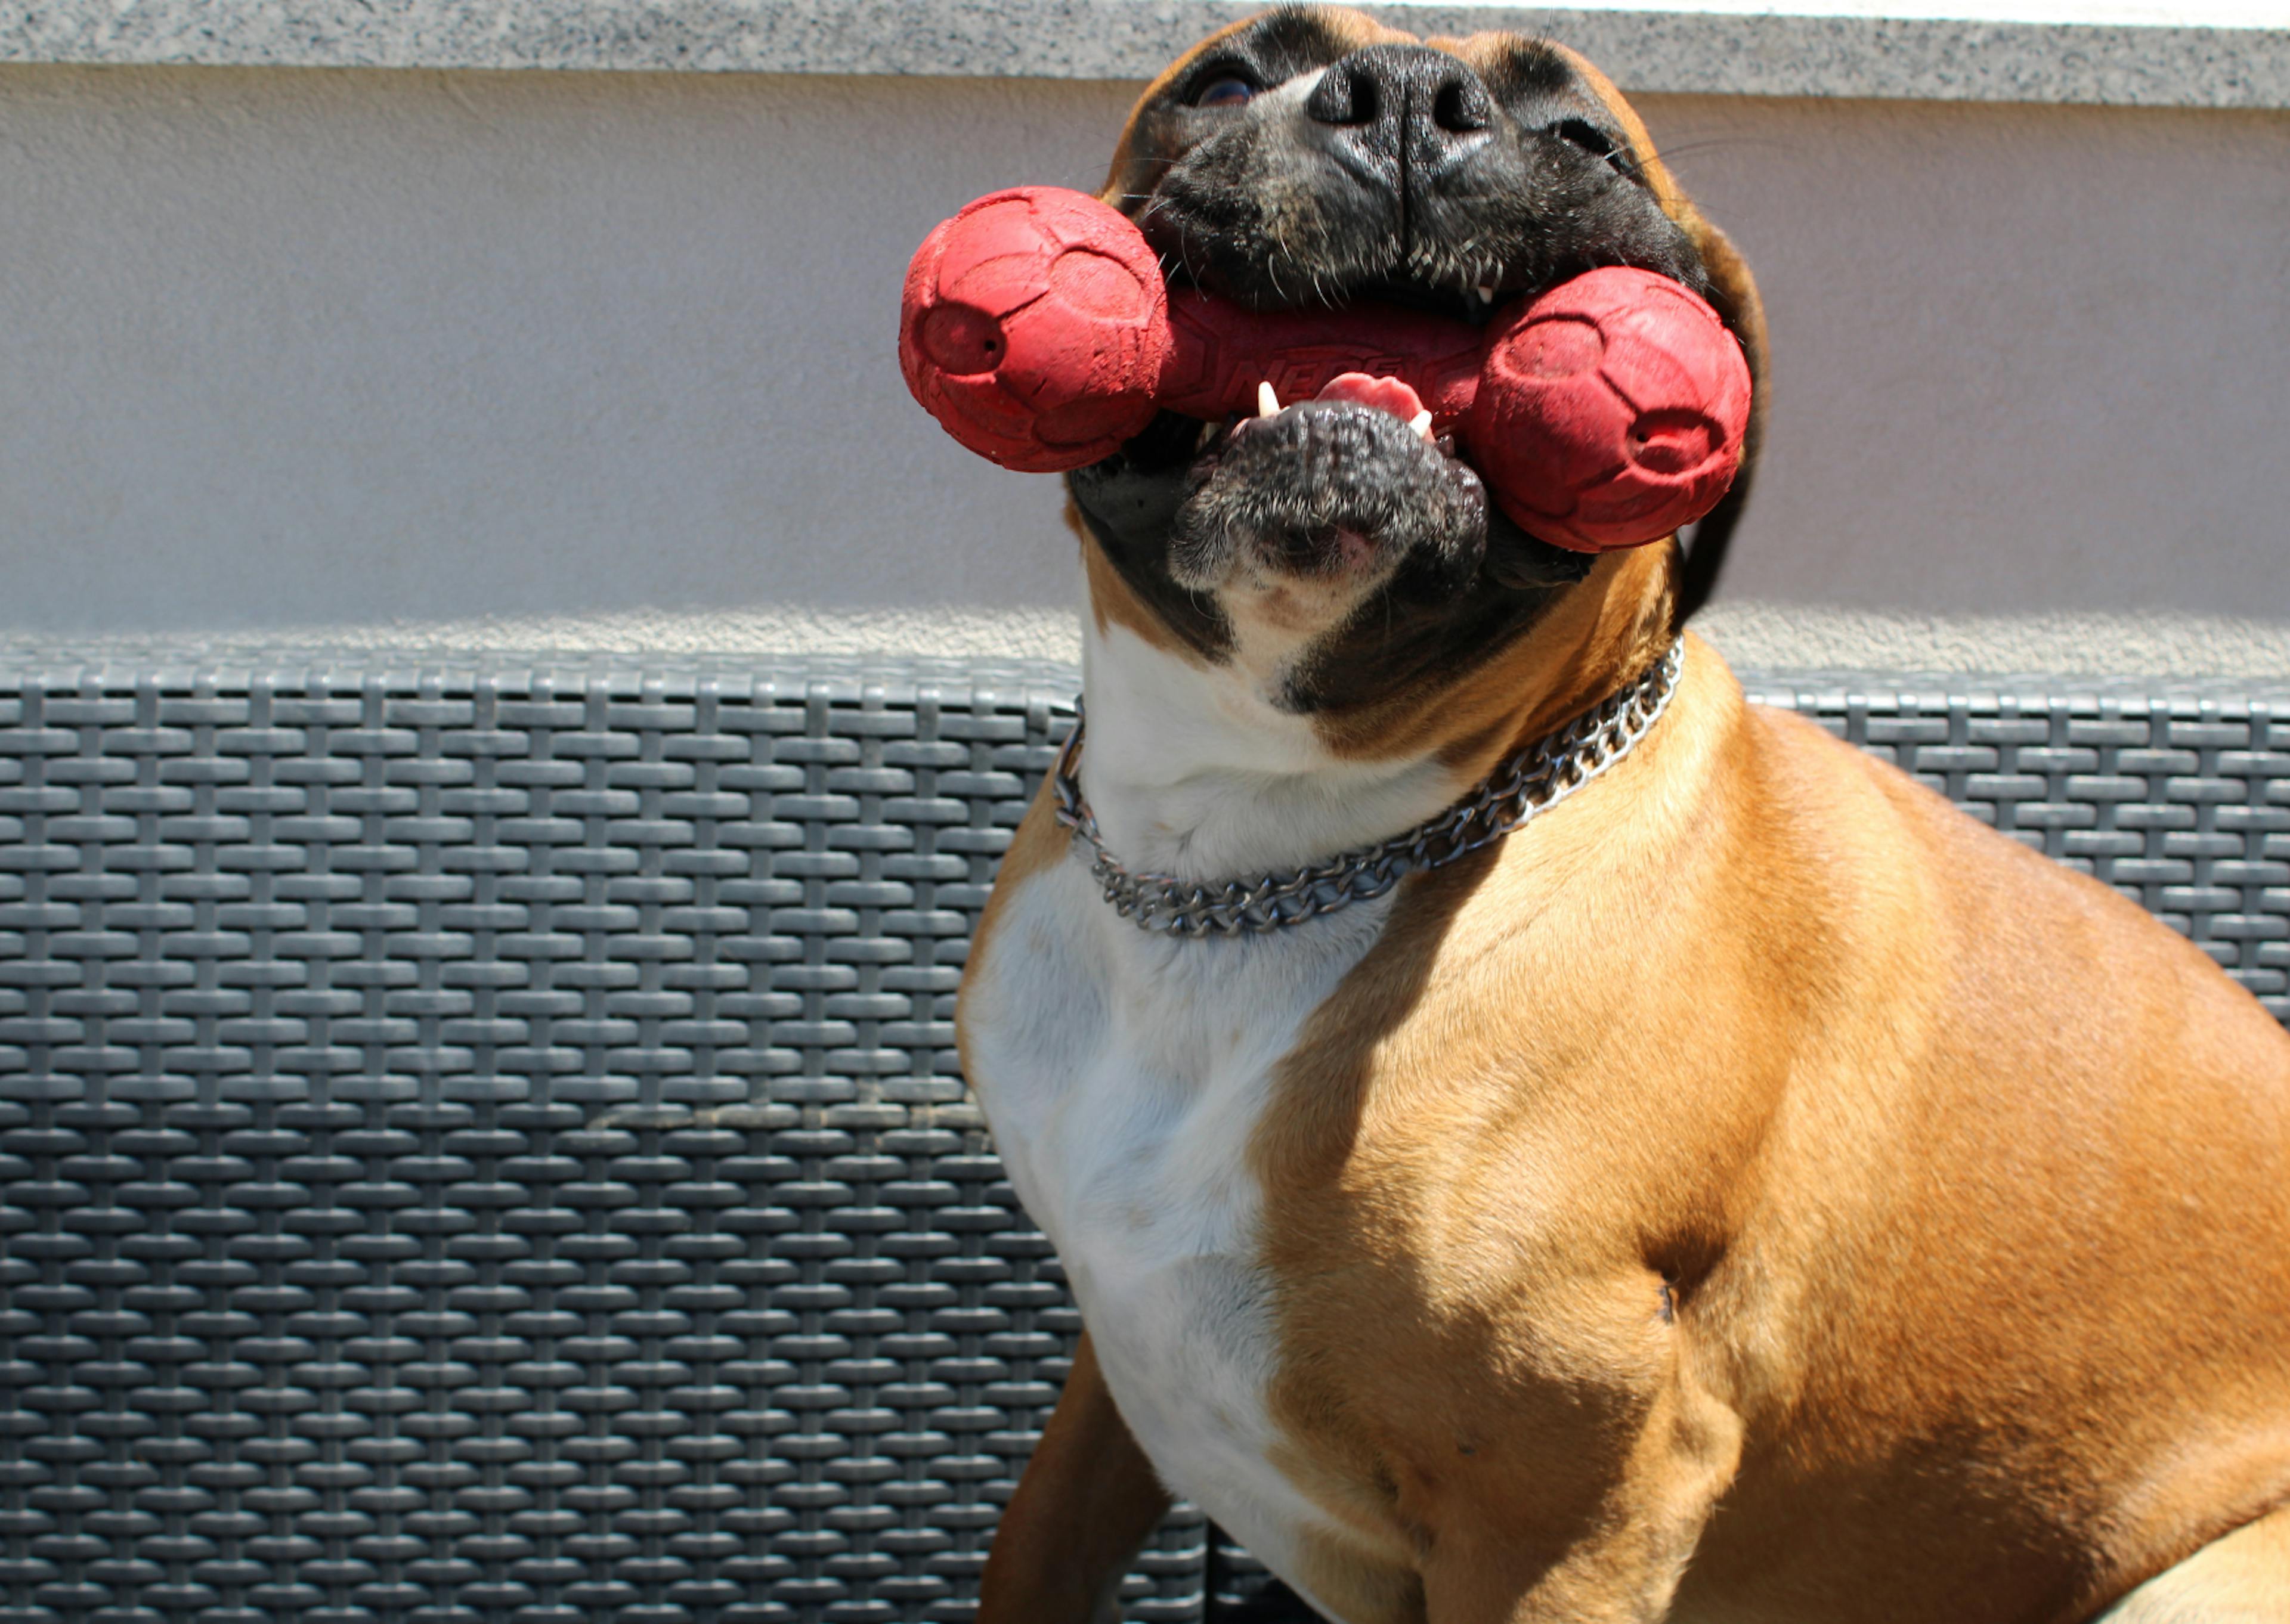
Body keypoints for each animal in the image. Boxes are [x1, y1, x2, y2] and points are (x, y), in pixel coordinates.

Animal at [943, 6, 2290, 1612]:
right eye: (1222, 79)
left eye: (1584, 139)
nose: (1410, 97)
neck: (1275, 841)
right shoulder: (1107, 1389)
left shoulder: (1566, 1514)